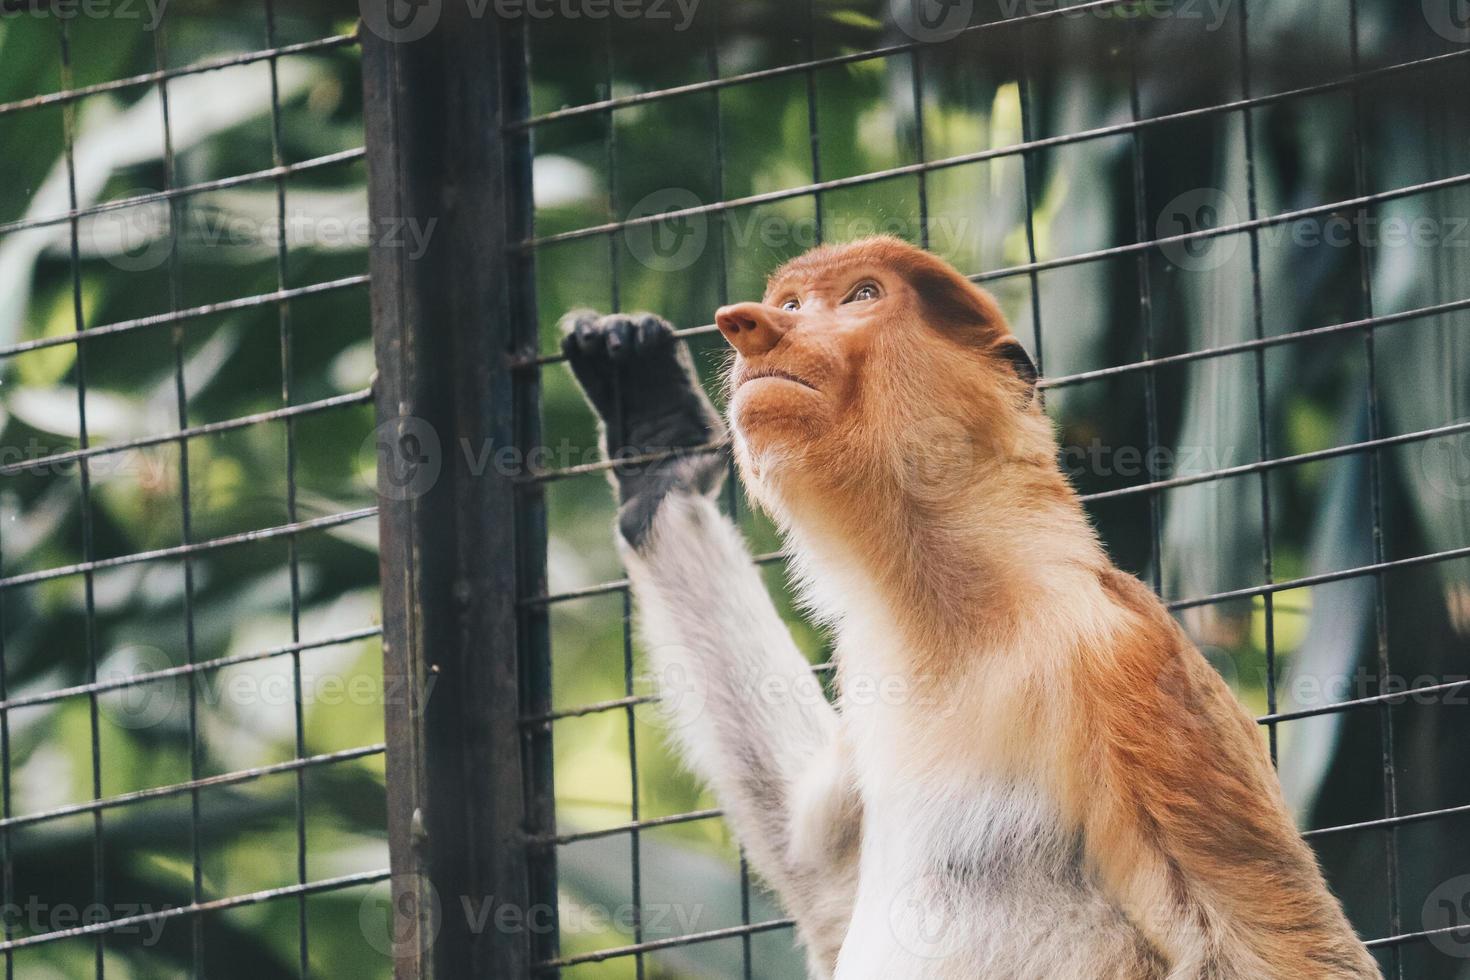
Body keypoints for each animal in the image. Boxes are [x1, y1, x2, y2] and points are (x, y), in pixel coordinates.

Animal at [558, 238, 1375, 980]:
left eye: (861, 295)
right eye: (790, 302)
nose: (753, 326)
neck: (956, 608)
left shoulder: (1120, 654)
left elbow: (1281, 951)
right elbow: (823, 872)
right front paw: (659, 452)